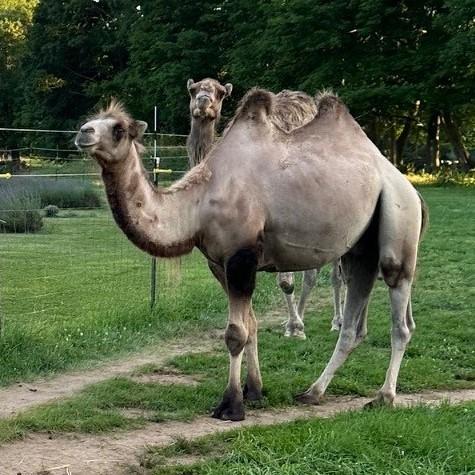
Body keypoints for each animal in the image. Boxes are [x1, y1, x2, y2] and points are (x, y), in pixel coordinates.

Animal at [77, 91, 428, 422]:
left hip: (398, 215)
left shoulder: (241, 256)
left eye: (119, 129)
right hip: (360, 248)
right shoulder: (219, 264)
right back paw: (313, 392)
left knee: (400, 312)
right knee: (355, 321)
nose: (83, 133)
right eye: (92, 120)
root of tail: (407, 184)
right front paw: (255, 391)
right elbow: (252, 325)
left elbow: (236, 333)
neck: (199, 203)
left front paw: (231, 405)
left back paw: (383, 397)